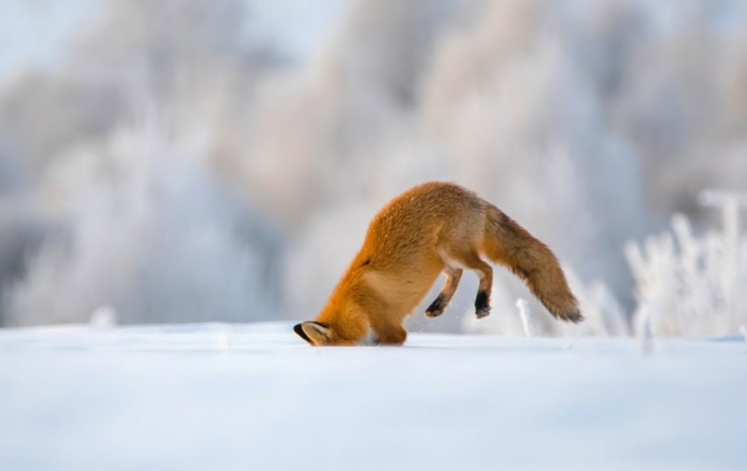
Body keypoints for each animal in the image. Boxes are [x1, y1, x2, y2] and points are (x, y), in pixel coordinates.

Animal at [294, 181, 582, 346]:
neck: (356, 304)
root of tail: (472, 195)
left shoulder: (391, 329)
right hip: (440, 259)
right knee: (457, 274)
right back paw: (438, 306)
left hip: (449, 249)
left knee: (485, 268)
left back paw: (481, 304)